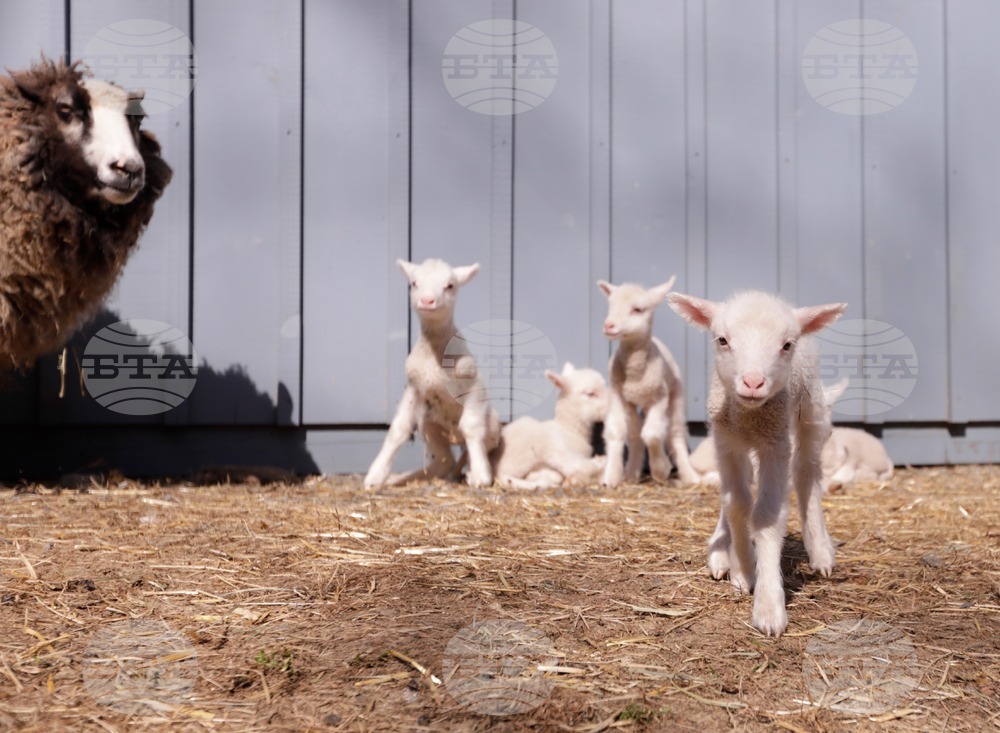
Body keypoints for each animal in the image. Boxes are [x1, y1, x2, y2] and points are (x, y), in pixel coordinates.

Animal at [364, 258, 501, 489]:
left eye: (450, 285)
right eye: (414, 283)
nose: (427, 301)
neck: (434, 356)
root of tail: (455, 437)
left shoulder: (473, 386)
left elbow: (471, 427)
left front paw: (481, 477)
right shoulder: (414, 387)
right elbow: (398, 429)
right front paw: (375, 476)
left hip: (492, 429)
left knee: (470, 448)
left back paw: (472, 471)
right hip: (430, 426)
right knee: (444, 461)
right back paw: (403, 478)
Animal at [597, 276, 699, 487]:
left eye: (637, 309)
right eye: (611, 305)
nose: (609, 326)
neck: (635, 374)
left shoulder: (660, 397)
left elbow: (651, 433)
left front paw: (661, 470)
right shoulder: (618, 395)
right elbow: (617, 432)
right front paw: (610, 477)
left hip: (676, 394)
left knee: (675, 433)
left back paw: (690, 476)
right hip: (634, 403)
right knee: (635, 434)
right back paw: (632, 474)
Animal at [668, 289, 846, 636]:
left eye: (786, 344)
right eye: (722, 340)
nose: (753, 383)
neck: (750, 417)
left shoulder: (775, 446)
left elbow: (765, 515)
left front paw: (768, 606)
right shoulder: (726, 443)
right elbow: (737, 504)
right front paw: (742, 570)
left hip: (811, 413)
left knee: (807, 473)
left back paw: (820, 552)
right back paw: (721, 550)